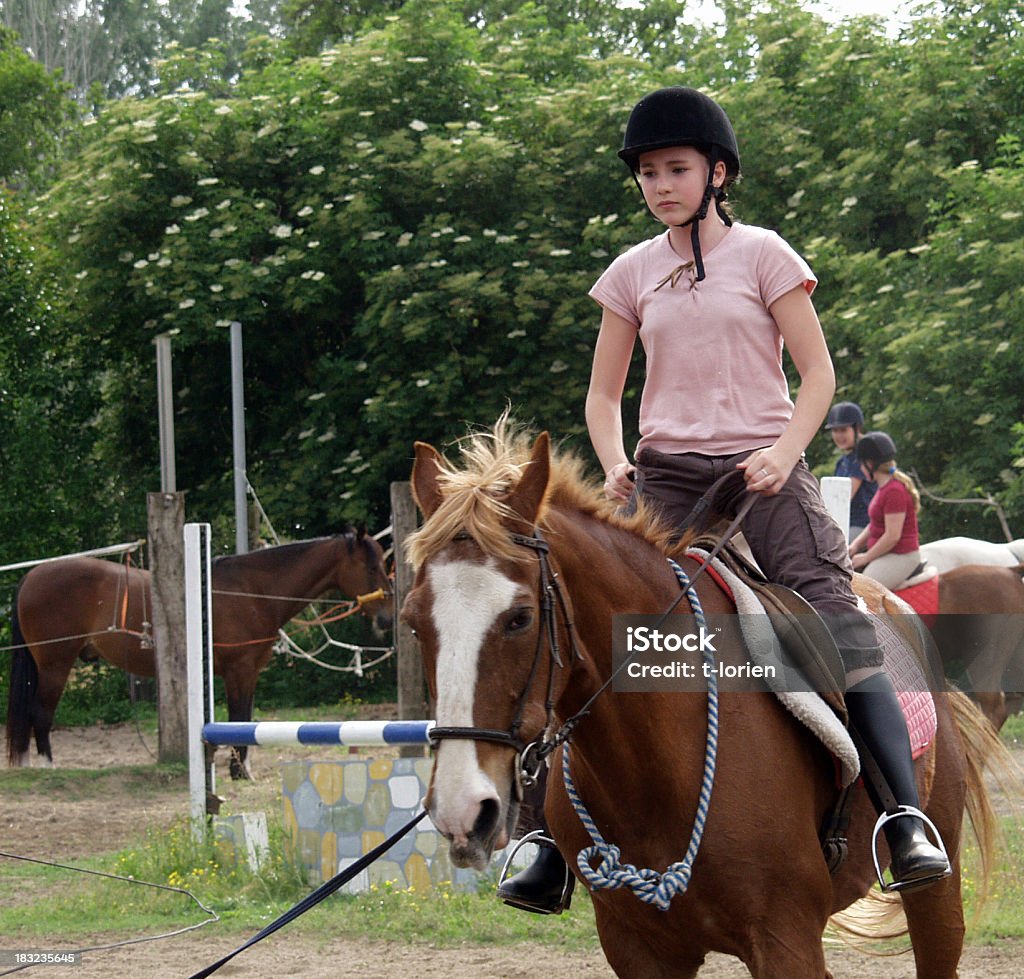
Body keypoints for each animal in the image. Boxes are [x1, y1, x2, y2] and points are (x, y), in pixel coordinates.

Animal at [7, 532, 391, 778]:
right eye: (371, 567)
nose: (386, 618)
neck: (252, 591)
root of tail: (32, 576)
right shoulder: (239, 671)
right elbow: (238, 718)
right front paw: (239, 771)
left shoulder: (249, 672)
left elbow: (245, 719)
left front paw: (242, 767)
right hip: (55, 664)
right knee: (40, 713)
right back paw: (46, 766)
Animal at [401, 423, 1007, 979]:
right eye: (412, 623)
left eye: (520, 618)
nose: (462, 811)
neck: (654, 765)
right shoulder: (637, 949)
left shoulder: (784, 939)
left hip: (934, 889)